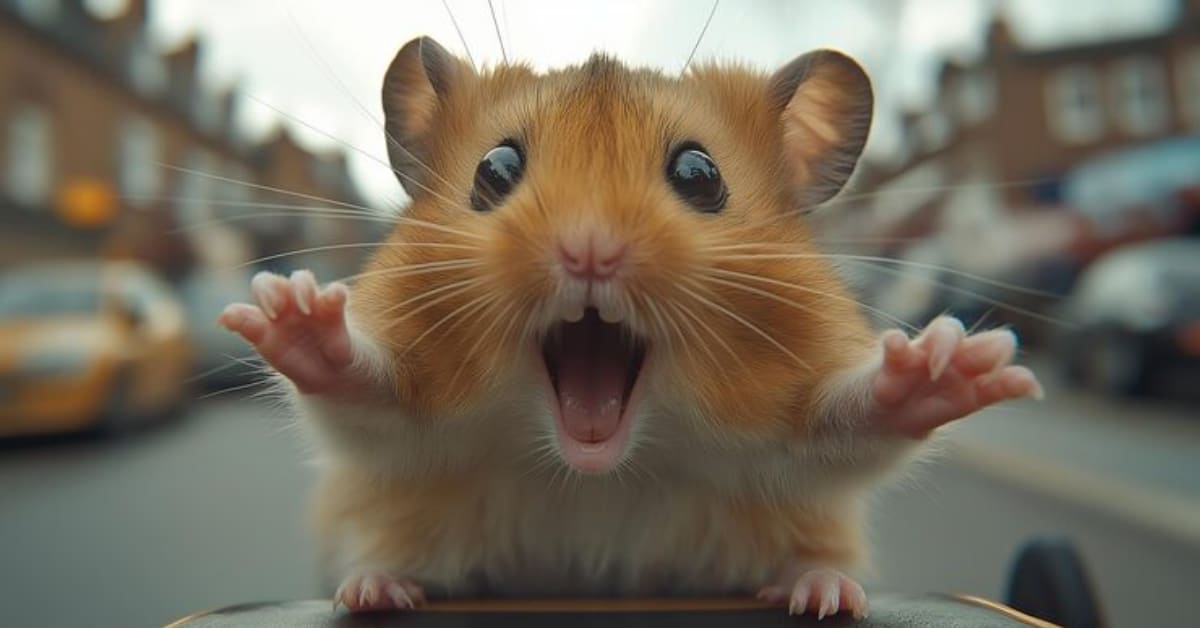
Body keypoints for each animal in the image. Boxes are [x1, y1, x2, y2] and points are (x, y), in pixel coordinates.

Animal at [218, 36, 1043, 619]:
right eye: (495, 169)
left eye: (699, 175)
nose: (590, 251)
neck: (598, 469)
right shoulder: (410, 420)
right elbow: (362, 394)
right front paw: (289, 307)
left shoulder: (795, 417)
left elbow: (852, 422)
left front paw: (951, 359)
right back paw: (374, 588)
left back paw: (822, 589)